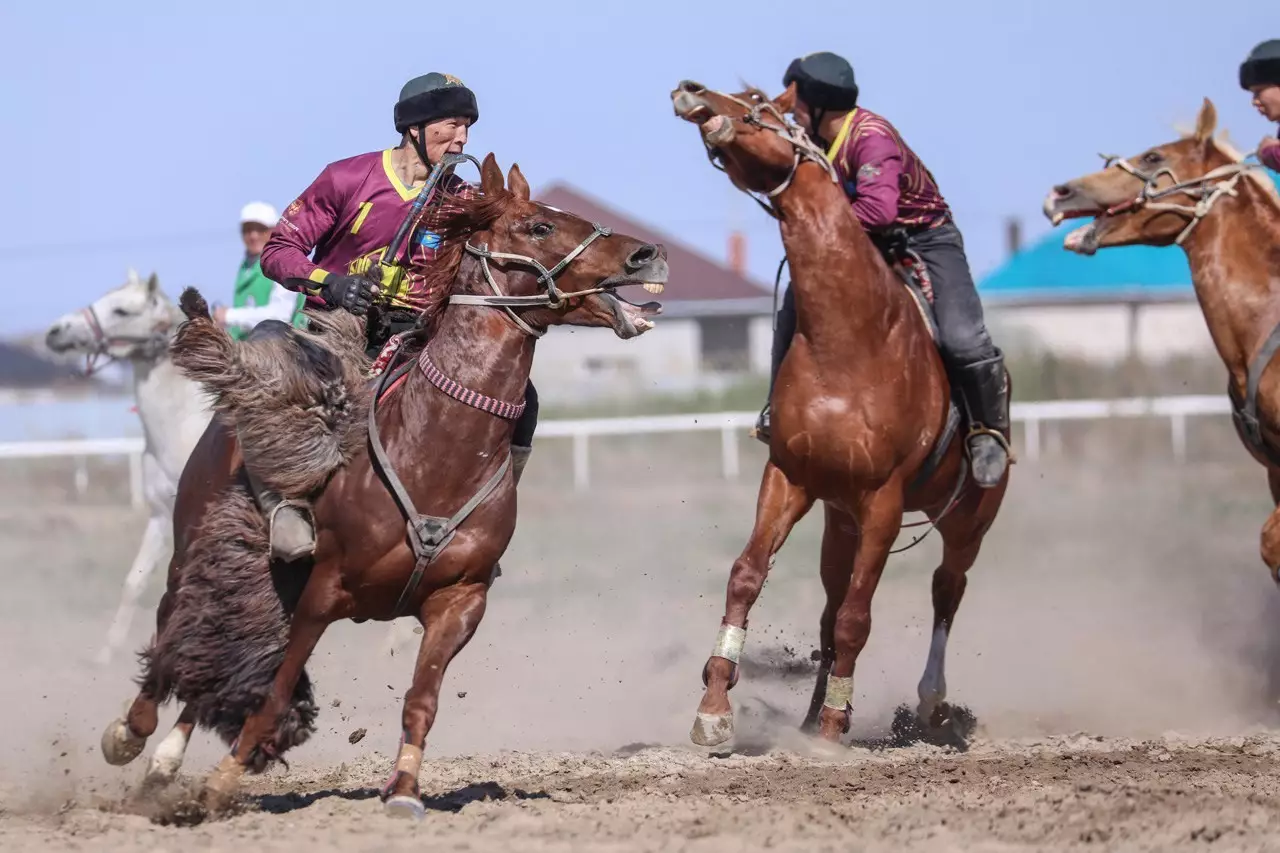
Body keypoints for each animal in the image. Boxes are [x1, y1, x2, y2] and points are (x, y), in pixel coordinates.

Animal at [43, 268, 211, 660]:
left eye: (121, 310)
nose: (57, 331)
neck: (183, 427)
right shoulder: (161, 515)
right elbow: (134, 581)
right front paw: (107, 652)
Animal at [99, 154, 670, 819]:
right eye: (537, 226)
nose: (646, 254)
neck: (436, 452)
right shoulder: (322, 593)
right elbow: (276, 690)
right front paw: (221, 781)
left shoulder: (460, 601)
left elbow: (420, 700)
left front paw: (402, 790)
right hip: (194, 543)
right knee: (174, 627)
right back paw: (130, 734)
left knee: (216, 641)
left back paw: (165, 760)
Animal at [670, 79, 1008, 742]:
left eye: (759, 102)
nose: (691, 90)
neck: (851, 339)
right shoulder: (790, 478)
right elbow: (748, 576)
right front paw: (715, 709)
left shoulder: (885, 501)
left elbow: (858, 616)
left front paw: (831, 730)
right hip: (838, 519)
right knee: (831, 606)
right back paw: (809, 716)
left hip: (967, 523)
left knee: (945, 590)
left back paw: (928, 705)